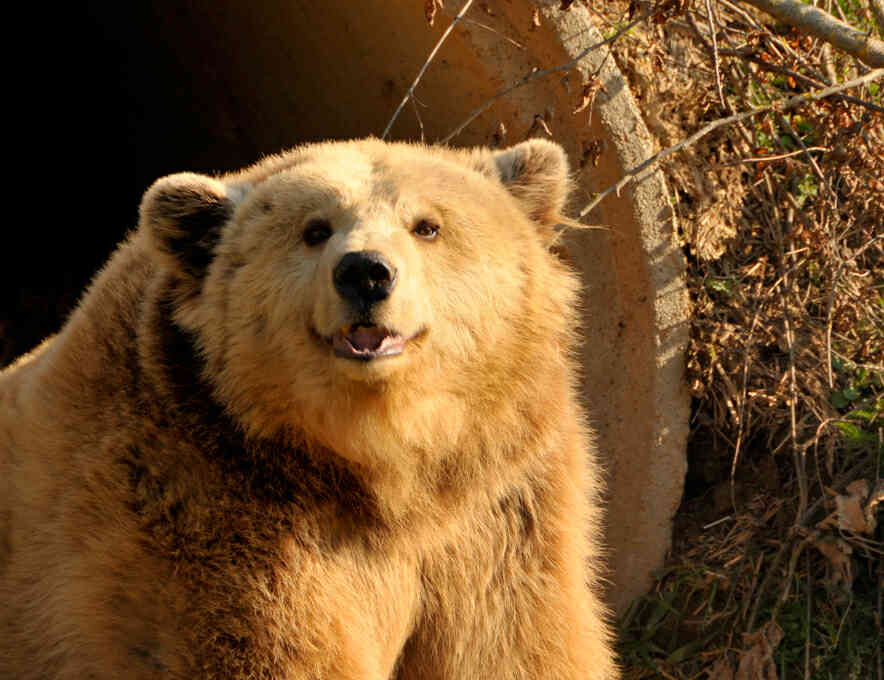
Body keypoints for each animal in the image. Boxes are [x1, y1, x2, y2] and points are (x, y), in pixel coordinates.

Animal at [0, 138, 618, 679]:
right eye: (314, 230)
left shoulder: (495, 514)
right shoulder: (211, 514)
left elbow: (513, 646)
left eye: (428, 226)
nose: (366, 272)